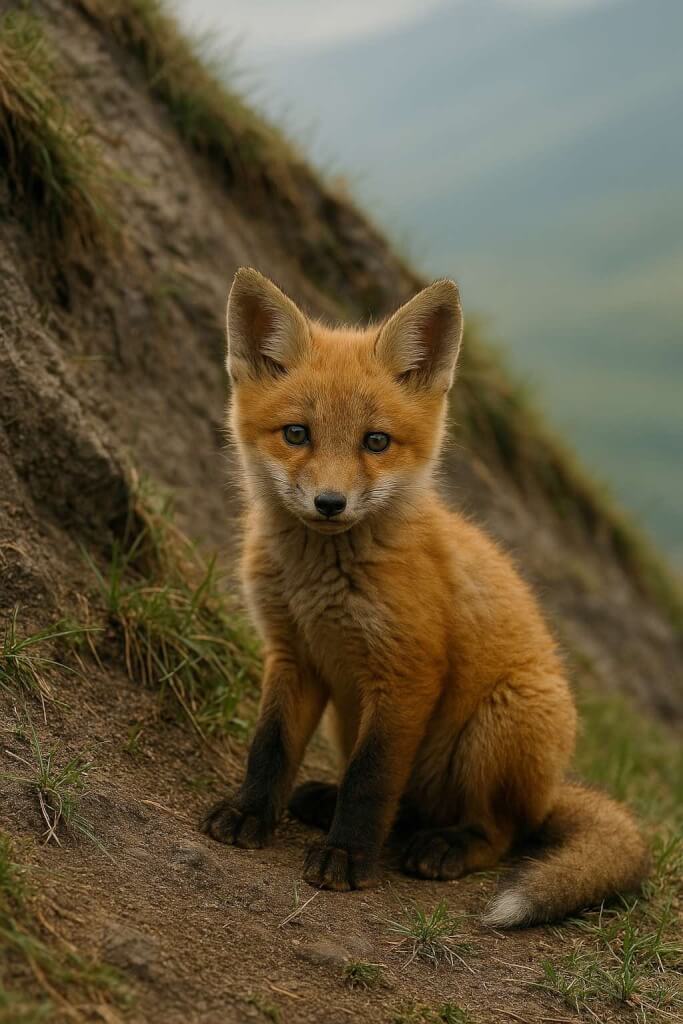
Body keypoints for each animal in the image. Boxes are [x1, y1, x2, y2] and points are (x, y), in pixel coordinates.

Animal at [201, 267, 648, 926]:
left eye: (376, 442)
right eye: (296, 434)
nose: (330, 503)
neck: (320, 586)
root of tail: (550, 791)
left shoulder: (408, 671)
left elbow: (371, 779)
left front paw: (347, 856)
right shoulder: (291, 654)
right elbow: (271, 747)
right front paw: (250, 813)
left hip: (503, 718)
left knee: (501, 832)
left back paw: (446, 846)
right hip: (351, 716)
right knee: (407, 804)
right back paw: (331, 802)